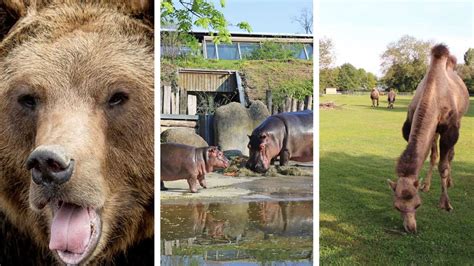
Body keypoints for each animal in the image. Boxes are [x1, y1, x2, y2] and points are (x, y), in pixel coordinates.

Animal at [386, 44, 468, 234]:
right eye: (397, 207)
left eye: (418, 205)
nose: (410, 228)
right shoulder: (411, 126)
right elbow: (431, 156)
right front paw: (424, 185)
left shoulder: (450, 129)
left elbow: (444, 165)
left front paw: (445, 204)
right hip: (435, 131)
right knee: (434, 155)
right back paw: (427, 185)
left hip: (458, 121)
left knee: (450, 155)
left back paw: (450, 182)